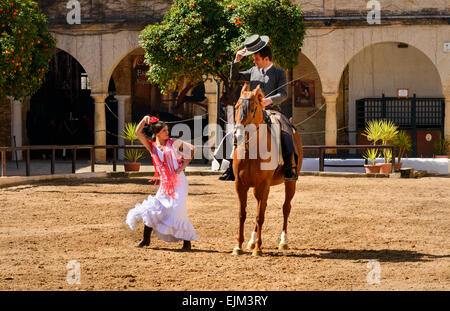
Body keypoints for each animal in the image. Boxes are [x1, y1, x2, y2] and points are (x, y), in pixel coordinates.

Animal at [232, 83, 302, 256]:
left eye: (253, 108)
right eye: (236, 107)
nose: (238, 136)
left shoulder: (263, 184)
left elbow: (260, 216)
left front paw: (258, 249)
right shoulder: (240, 185)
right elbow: (242, 214)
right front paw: (238, 246)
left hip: (290, 183)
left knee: (285, 208)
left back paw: (283, 242)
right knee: (262, 206)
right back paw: (251, 241)